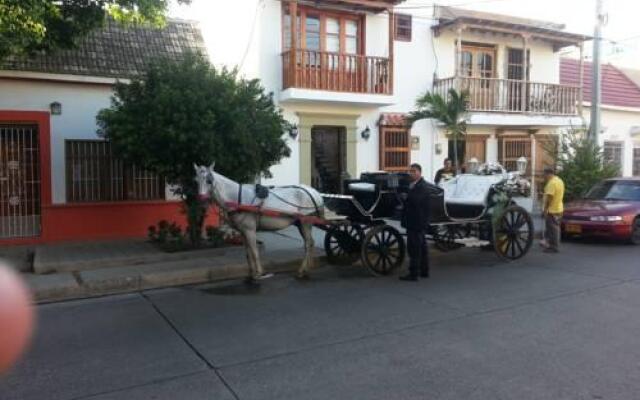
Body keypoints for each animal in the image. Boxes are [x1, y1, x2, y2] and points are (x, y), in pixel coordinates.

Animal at [194, 162, 324, 282]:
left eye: (209, 180)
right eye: (196, 180)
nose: (201, 200)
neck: (238, 198)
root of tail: (313, 192)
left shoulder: (250, 230)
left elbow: (254, 251)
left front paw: (259, 274)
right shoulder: (243, 232)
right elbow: (247, 253)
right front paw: (251, 274)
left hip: (305, 222)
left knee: (308, 244)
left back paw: (302, 271)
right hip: (300, 224)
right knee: (310, 243)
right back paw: (307, 270)